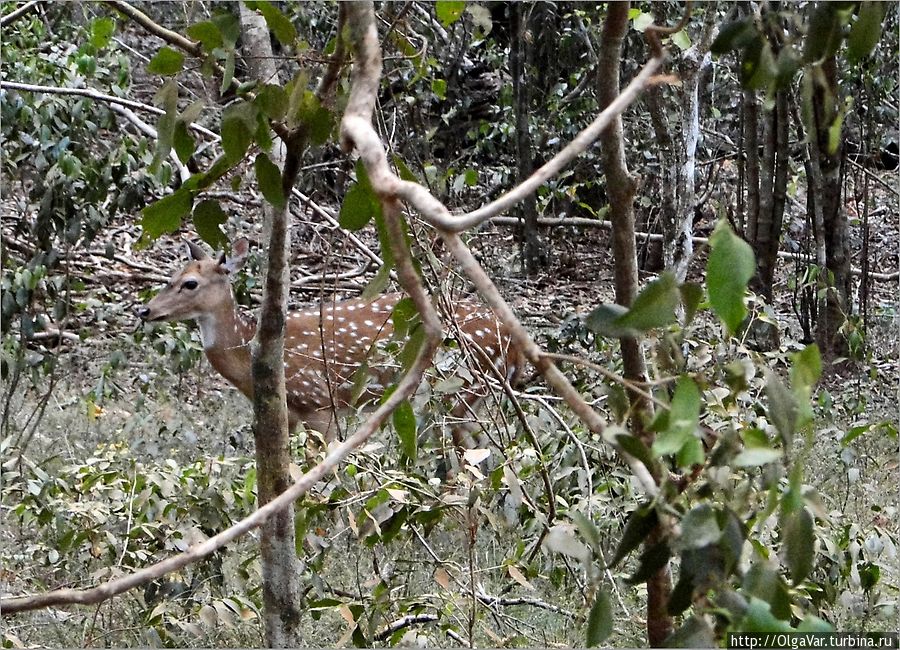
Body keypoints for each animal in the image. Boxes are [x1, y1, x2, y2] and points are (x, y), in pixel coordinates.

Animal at [137, 238, 524, 446]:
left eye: (190, 283)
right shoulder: (291, 415)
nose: (145, 310)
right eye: (171, 274)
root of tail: (512, 341)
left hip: (463, 386)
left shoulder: (320, 402)